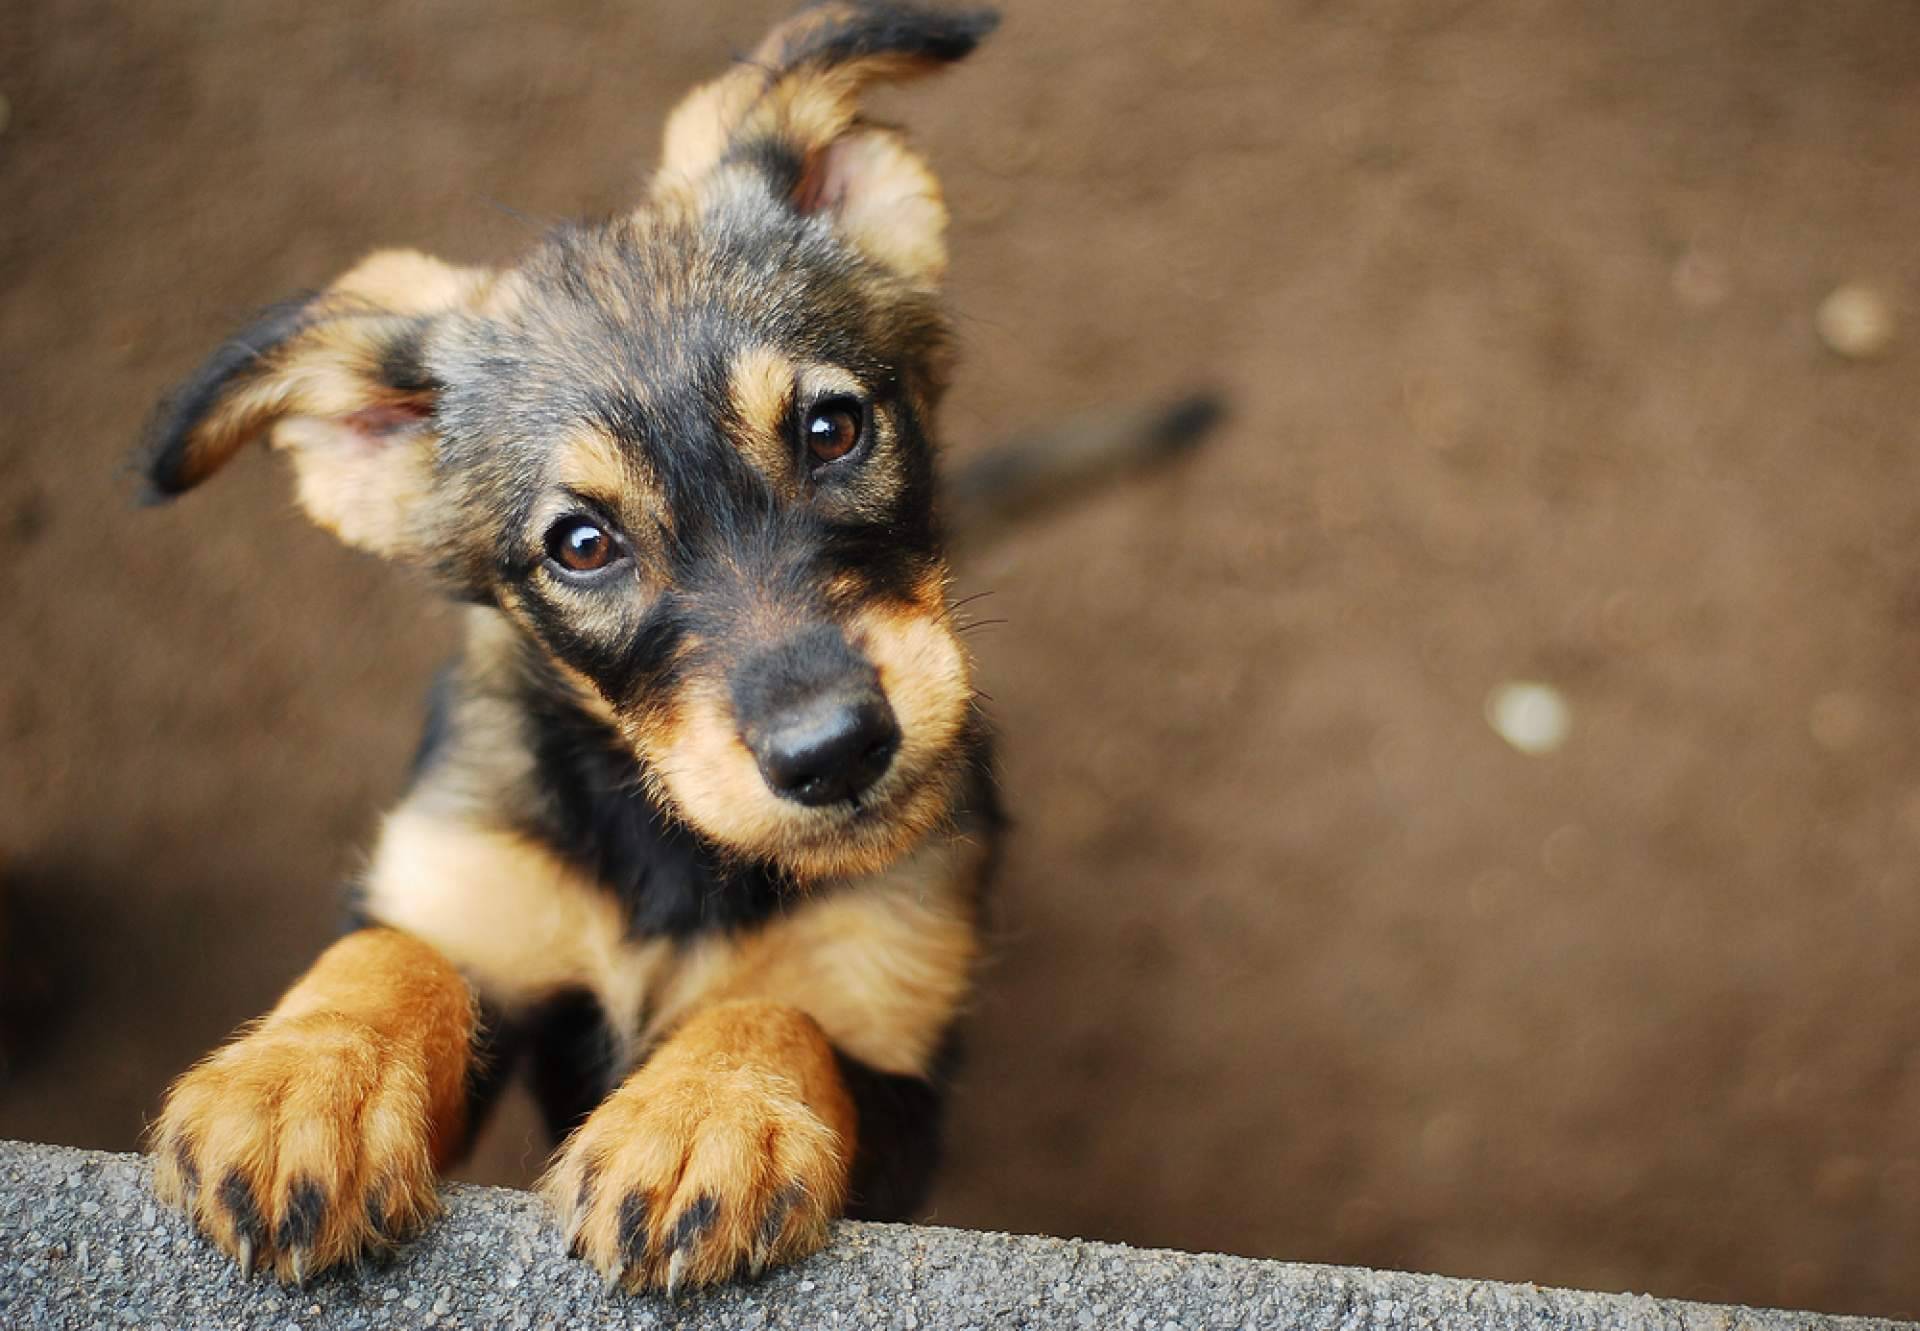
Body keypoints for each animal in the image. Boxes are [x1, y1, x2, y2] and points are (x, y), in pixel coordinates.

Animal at [139, 0, 1006, 1290]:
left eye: (832, 427)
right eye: (583, 544)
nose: (835, 751)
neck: (674, 852)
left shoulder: (897, 1065)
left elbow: (778, 1010)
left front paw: (703, 1113)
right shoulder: (474, 890)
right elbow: (395, 953)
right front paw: (304, 1080)